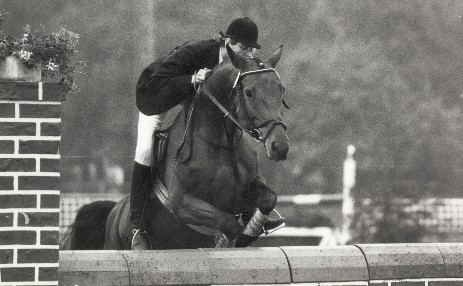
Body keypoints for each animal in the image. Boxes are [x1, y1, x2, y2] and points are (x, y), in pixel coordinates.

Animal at [60, 45, 290, 250]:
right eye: (249, 92)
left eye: (281, 90)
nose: (280, 146)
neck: (222, 144)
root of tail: (114, 212)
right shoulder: (180, 204)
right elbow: (229, 224)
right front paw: (232, 239)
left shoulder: (251, 184)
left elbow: (268, 198)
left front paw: (252, 230)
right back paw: (139, 238)